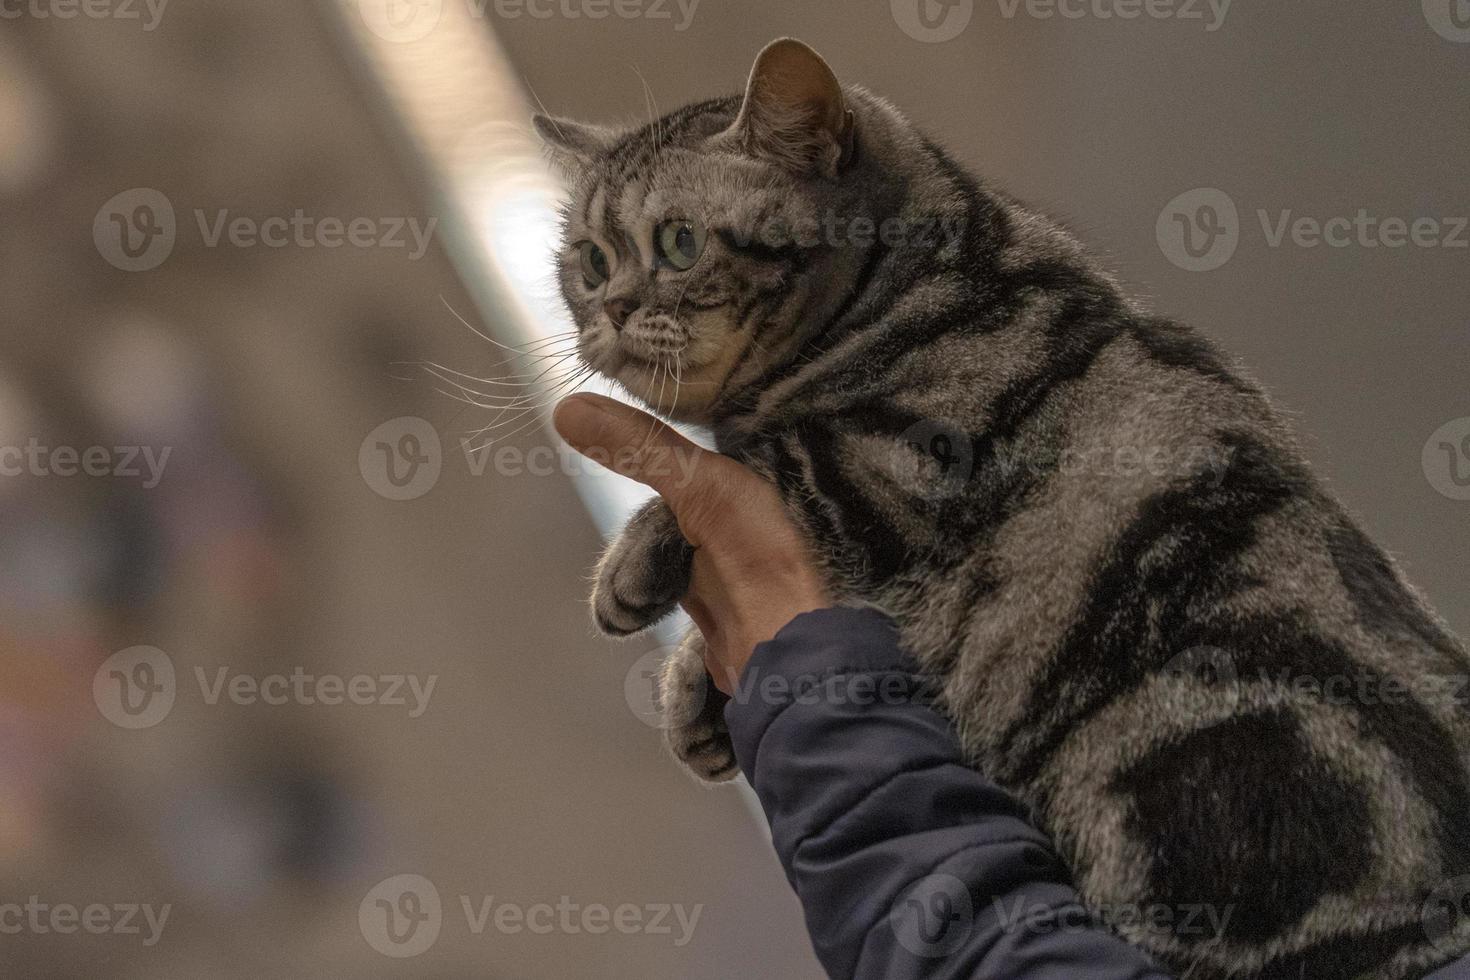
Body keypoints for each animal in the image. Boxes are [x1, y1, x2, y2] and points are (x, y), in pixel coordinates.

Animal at [535, 38, 1464, 980]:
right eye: (591, 263)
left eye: (679, 243)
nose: (610, 309)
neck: (944, 271)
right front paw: (693, 689)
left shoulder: (904, 458)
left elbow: (750, 465)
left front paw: (632, 571)